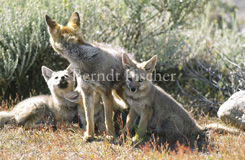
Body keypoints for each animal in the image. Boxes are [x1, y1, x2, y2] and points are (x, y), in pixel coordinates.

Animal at [46, 11, 130, 141]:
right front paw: (90, 135)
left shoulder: (106, 92)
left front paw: (111, 136)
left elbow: (108, 118)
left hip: (122, 92)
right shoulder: (87, 91)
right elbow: (89, 118)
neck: (85, 61)